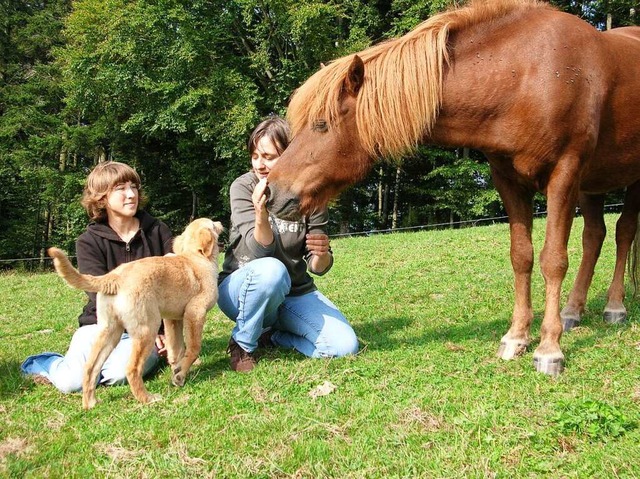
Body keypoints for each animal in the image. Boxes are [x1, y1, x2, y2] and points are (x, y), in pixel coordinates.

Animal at [48, 219, 222, 410]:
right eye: (213, 225)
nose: (220, 222)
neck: (195, 257)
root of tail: (115, 277)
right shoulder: (195, 313)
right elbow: (193, 349)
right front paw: (180, 375)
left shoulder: (172, 319)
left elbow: (176, 351)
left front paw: (178, 374)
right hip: (147, 329)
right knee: (132, 369)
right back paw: (147, 398)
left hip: (110, 331)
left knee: (90, 367)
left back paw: (91, 403)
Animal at [268, 0, 640, 376]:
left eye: (321, 124)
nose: (272, 191)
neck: (528, 73)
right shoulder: (508, 181)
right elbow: (522, 256)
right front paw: (517, 337)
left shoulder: (564, 175)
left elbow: (553, 260)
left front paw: (549, 348)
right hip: (591, 186)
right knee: (594, 236)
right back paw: (573, 311)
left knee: (623, 233)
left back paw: (614, 307)